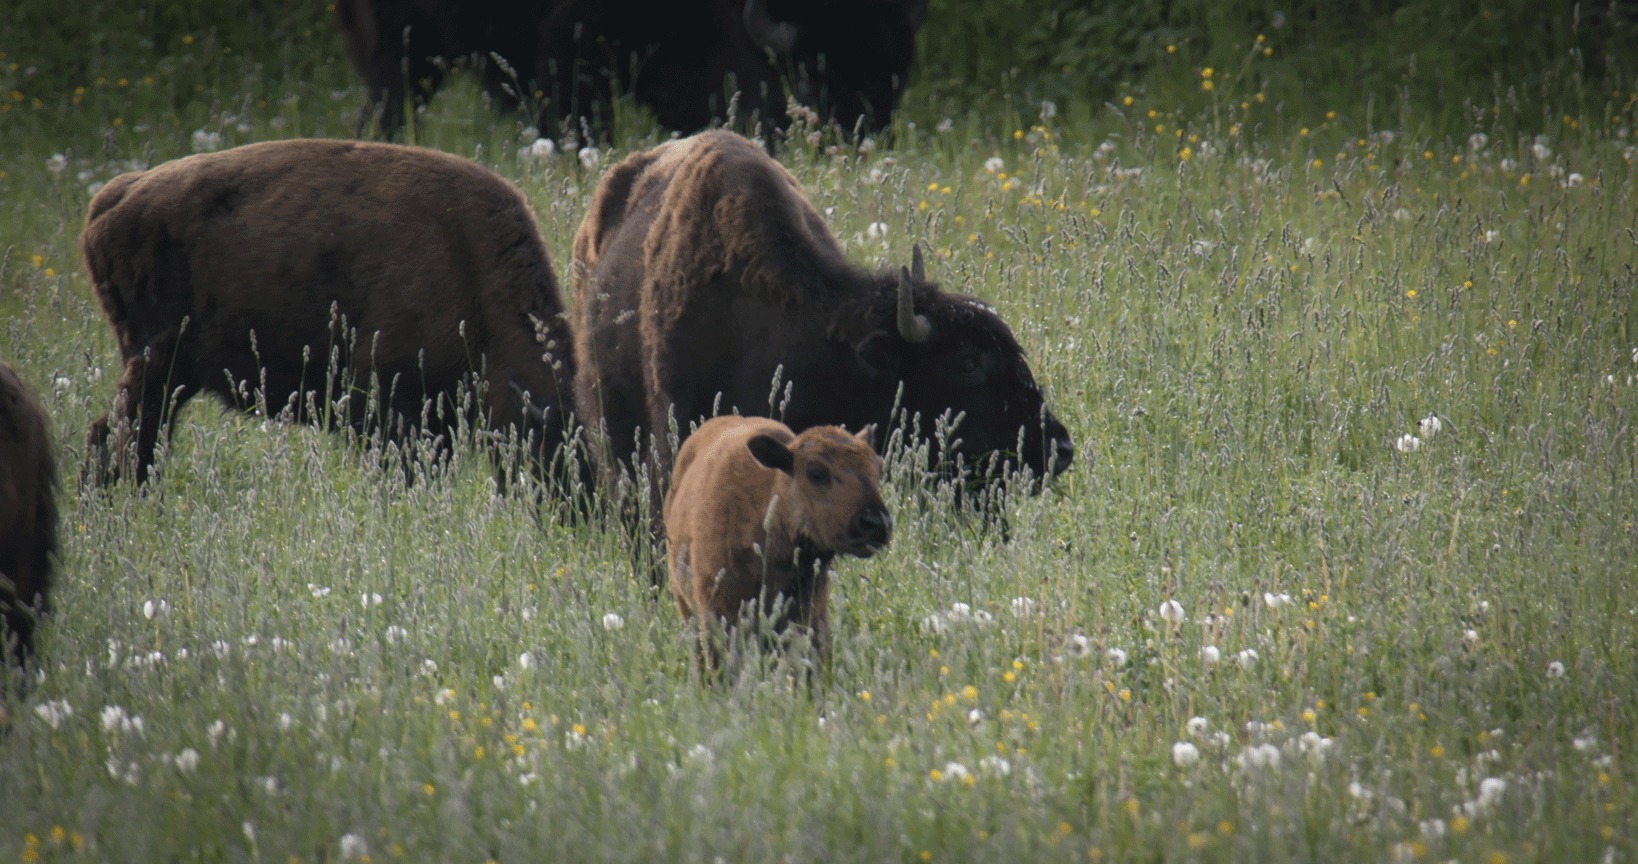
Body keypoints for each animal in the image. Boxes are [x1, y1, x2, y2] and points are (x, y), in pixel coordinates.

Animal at [81, 139, 578, 490]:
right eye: (561, 443)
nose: (580, 513)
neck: (471, 266)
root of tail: (117, 196)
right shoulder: (388, 404)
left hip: (173, 374)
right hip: (157, 364)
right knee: (128, 432)